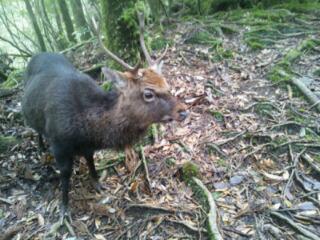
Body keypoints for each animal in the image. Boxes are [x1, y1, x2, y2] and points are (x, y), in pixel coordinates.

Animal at [21, 12, 188, 220]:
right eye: (148, 93)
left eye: (166, 84)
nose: (183, 111)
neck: (85, 129)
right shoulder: (59, 143)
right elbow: (65, 175)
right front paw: (64, 208)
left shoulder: (88, 147)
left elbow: (91, 162)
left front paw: (98, 184)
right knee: (36, 128)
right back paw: (41, 146)